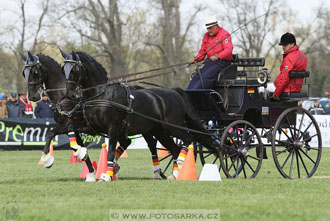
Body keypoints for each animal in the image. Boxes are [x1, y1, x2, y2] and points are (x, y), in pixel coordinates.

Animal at [62, 51, 219, 182]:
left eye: (75, 69)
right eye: (63, 70)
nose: (70, 95)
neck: (103, 94)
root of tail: (175, 92)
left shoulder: (113, 128)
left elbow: (111, 151)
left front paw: (106, 176)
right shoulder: (93, 127)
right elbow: (72, 129)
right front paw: (80, 151)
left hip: (173, 126)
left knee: (188, 138)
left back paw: (180, 163)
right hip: (160, 131)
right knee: (174, 149)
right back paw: (174, 174)